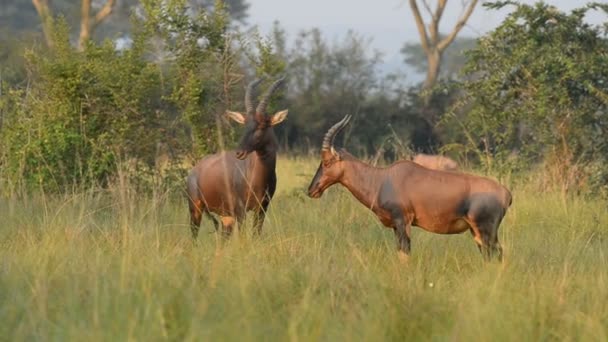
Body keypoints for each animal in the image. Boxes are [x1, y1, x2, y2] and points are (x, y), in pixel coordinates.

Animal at [186, 77, 288, 238]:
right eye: (245, 124)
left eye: (262, 125)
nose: (239, 152)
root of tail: (194, 171)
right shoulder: (241, 210)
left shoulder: (262, 208)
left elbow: (256, 234)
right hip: (195, 209)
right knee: (194, 235)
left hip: (226, 216)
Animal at [306, 115, 510, 260]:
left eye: (327, 162)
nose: (311, 190)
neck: (383, 179)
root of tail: (506, 193)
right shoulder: (396, 227)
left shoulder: (402, 221)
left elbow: (405, 254)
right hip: (477, 232)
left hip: (485, 230)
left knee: (497, 254)